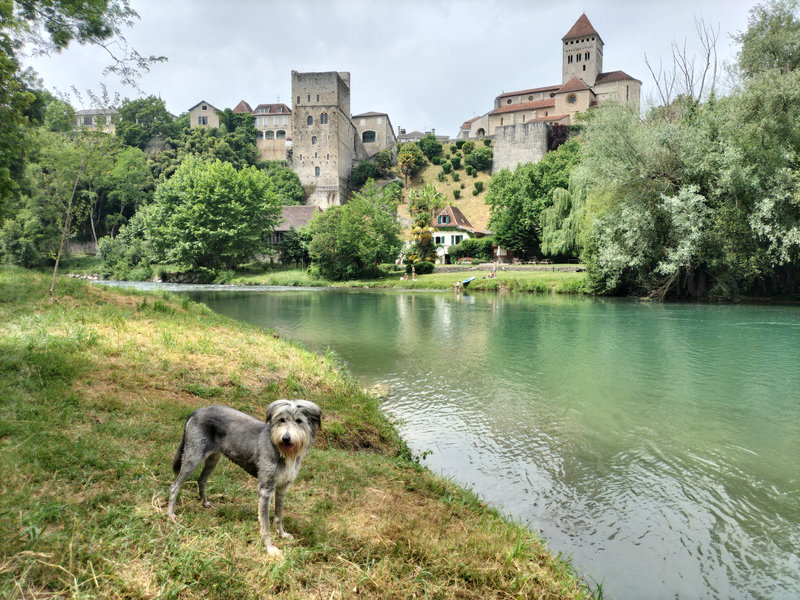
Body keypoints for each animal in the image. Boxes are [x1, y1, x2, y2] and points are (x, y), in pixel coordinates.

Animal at [168, 400, 322, 556]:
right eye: (281, 420)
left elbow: (278, 516)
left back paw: (205, 503)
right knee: (175, 486)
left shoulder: (282, 488)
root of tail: (197, 411)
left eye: (299, 421)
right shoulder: (265, 490)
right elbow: (265, 524)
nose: (286, 438)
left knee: (202, 480)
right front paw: (269, 547)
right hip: (192, 459)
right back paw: (171, 514)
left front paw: (282, 534)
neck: (280, 449)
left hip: (213, 458)